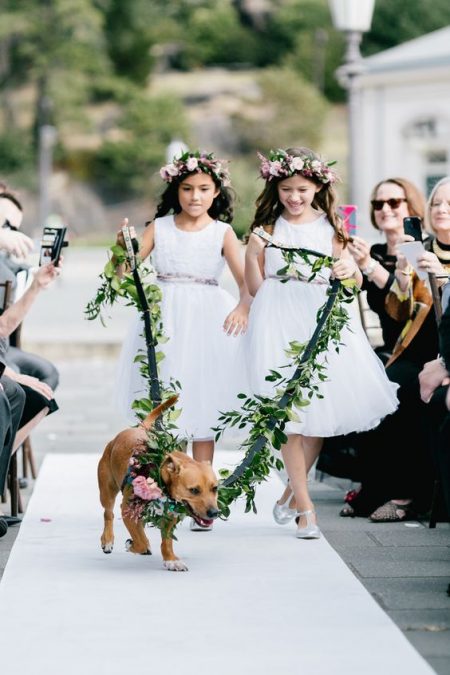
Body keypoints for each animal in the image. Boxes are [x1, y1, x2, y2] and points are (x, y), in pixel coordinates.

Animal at [97, 398, 220, 572]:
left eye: (215, 488)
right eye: (194, 490)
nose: (214, 513)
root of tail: (138, 429)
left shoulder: (171, 513)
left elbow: (166, 541)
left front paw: (170, 559)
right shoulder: (127, 509)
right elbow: (140, 542)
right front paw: (132, 545)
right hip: (107, 490)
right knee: (108, 514)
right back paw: (107, 540)